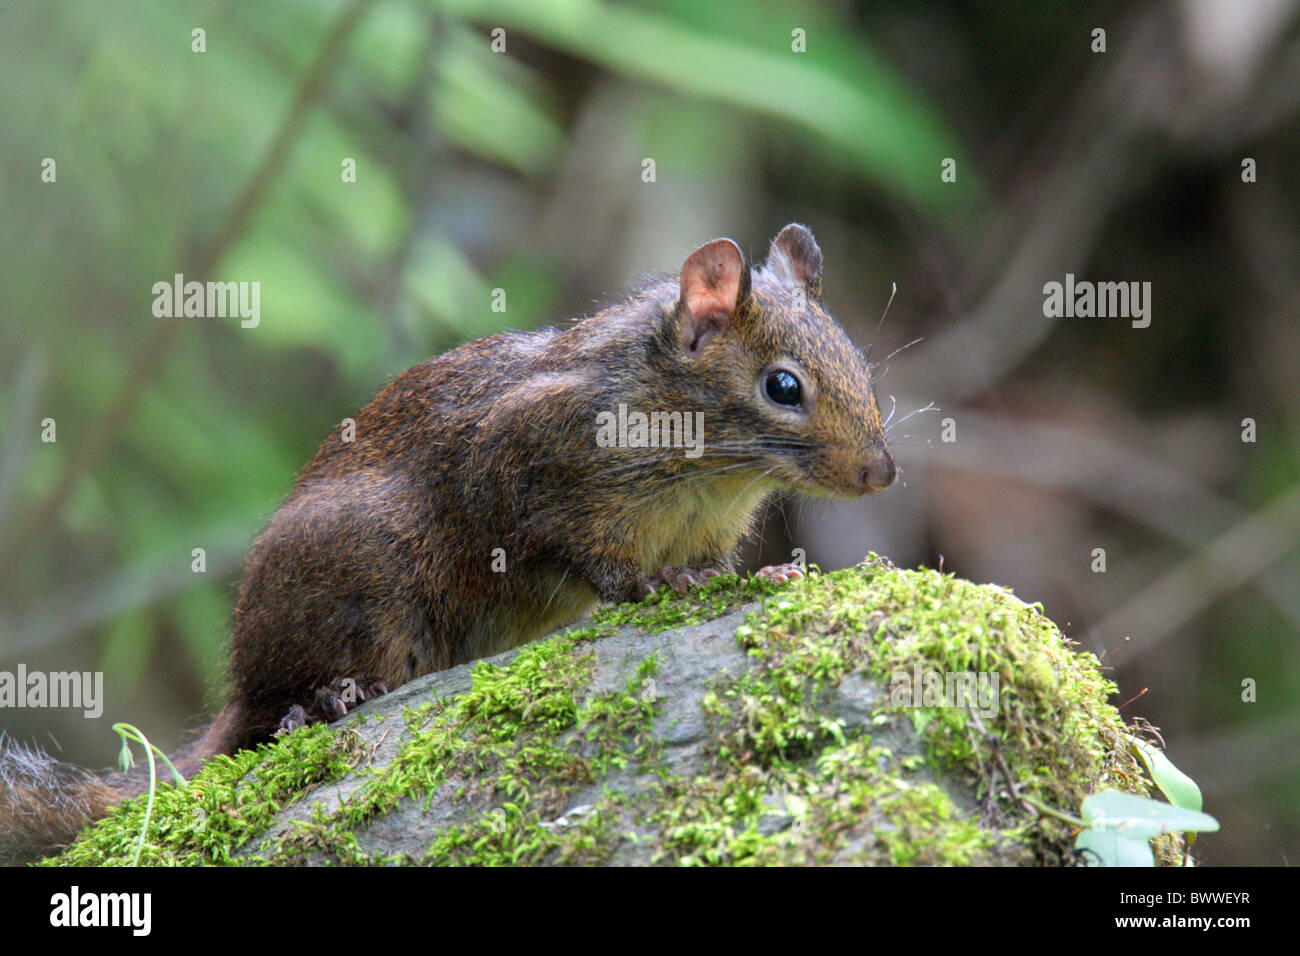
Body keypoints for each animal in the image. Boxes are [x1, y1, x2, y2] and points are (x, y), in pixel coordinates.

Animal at [0, 226, 894, 868]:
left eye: (861, 363)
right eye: (784, 386)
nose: (882, 473)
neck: (705, 464)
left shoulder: (708, 525)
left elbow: (717, 564)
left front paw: (759, 572)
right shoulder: (527, 466)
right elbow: (582, 554)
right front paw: (653, 584)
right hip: (360, 587)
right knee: (273, 710)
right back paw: (324, 701)